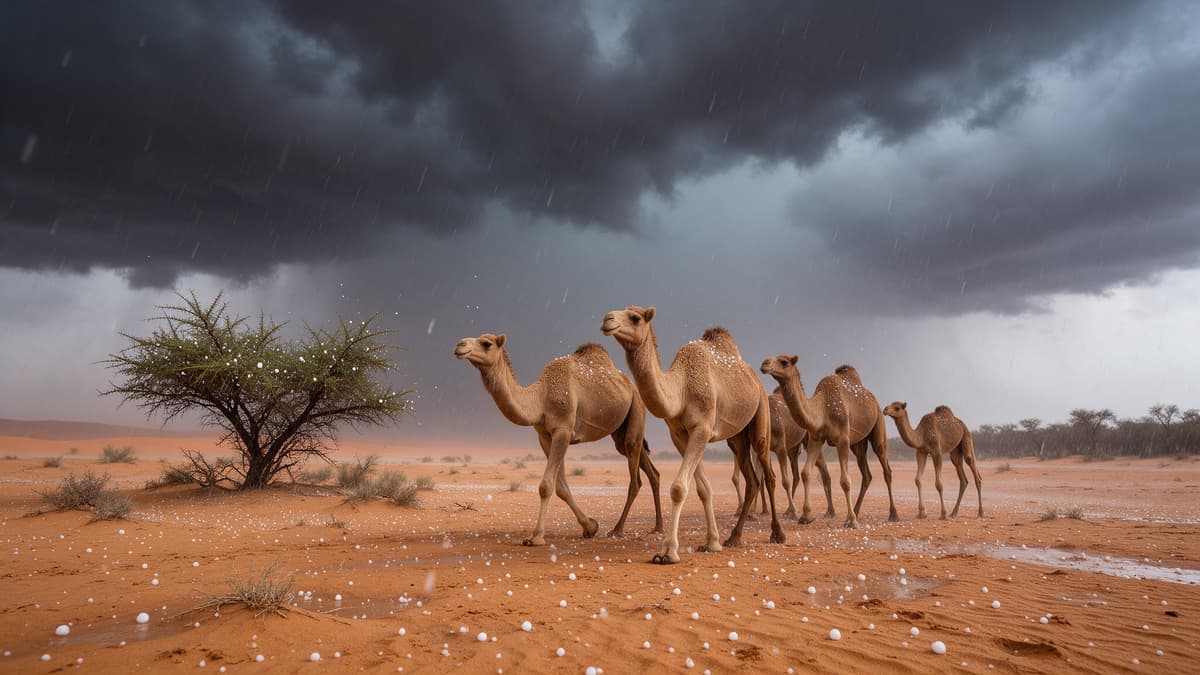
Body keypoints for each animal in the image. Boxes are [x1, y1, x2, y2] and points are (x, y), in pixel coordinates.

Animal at [454, 334, 663, 545]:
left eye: (486, 344)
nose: (459, 345)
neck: (540, 398)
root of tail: (631, 385)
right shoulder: (545, 436)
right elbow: (561, 487)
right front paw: (590, 526)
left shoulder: (563, 430)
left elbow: (546, 486)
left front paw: (536, 537)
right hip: (621, 431)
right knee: (650, 470)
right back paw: (657, 528)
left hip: (637, 407)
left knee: (635, 477)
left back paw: (618, 530)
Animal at [602, 306, 783, 564]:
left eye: (635, 318)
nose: (607, 319)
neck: (682, 389)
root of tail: (755, 377)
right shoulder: (679, 434)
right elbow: (703, 488)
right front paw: (712, 543)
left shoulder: (702, 429)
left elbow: (679, 488)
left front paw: (668, 552)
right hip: (737, 437)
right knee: (751, 479)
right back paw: (733, 537)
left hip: (760, 416)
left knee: (768, 474)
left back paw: (777, 534)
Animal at [732, 388, 834, 520]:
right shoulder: (761, 450)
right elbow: (758, 479)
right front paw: (751, 513)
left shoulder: (780, 447)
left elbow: (785, 481)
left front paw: (794, 512)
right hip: (793, 449)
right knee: (797, 474)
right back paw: (788, 510)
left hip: (809, 439)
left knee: (823, 469)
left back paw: (830, 511)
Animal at [761, 356, 899, 528]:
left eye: (784, 361)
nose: (764, 364)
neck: (822, 408)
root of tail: (875, 402)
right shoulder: (816, 438)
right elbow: (806, 473)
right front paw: (806, 516)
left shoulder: (843, 439)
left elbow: (845, 481)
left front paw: (851, 521)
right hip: (858, 444)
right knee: (866, 474)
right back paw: (856, 510)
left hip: (878, 426)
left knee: (886, 468)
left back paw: (893, 514)